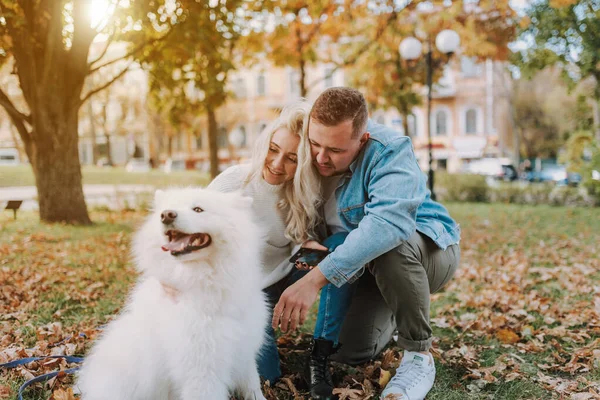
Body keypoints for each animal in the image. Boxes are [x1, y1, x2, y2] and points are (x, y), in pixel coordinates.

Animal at [77, 188, 268, 400]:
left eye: (198, 209)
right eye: (167, 209)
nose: (166, 215)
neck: (206, 281)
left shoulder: (244, 350)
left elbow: (253, 385)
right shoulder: (202, 371)